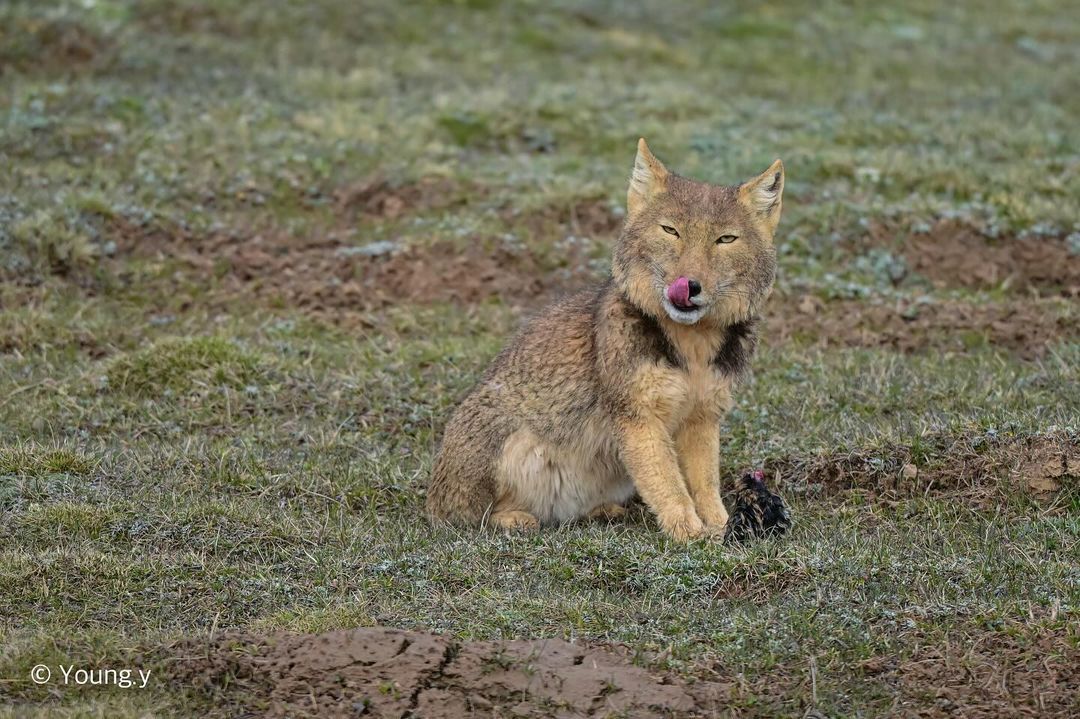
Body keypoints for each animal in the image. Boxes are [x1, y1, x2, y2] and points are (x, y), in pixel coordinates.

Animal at [423, 138, 786, 537]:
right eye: (670, 231)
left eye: (725, 239)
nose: (688, 286)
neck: (692, 351)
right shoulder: (638, 418)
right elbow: (670, 485)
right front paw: (691, 533)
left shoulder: (703, 418)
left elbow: (704, 485)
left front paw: (721, 527)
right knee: (470, 519)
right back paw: (514, 518)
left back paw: (601, 512)